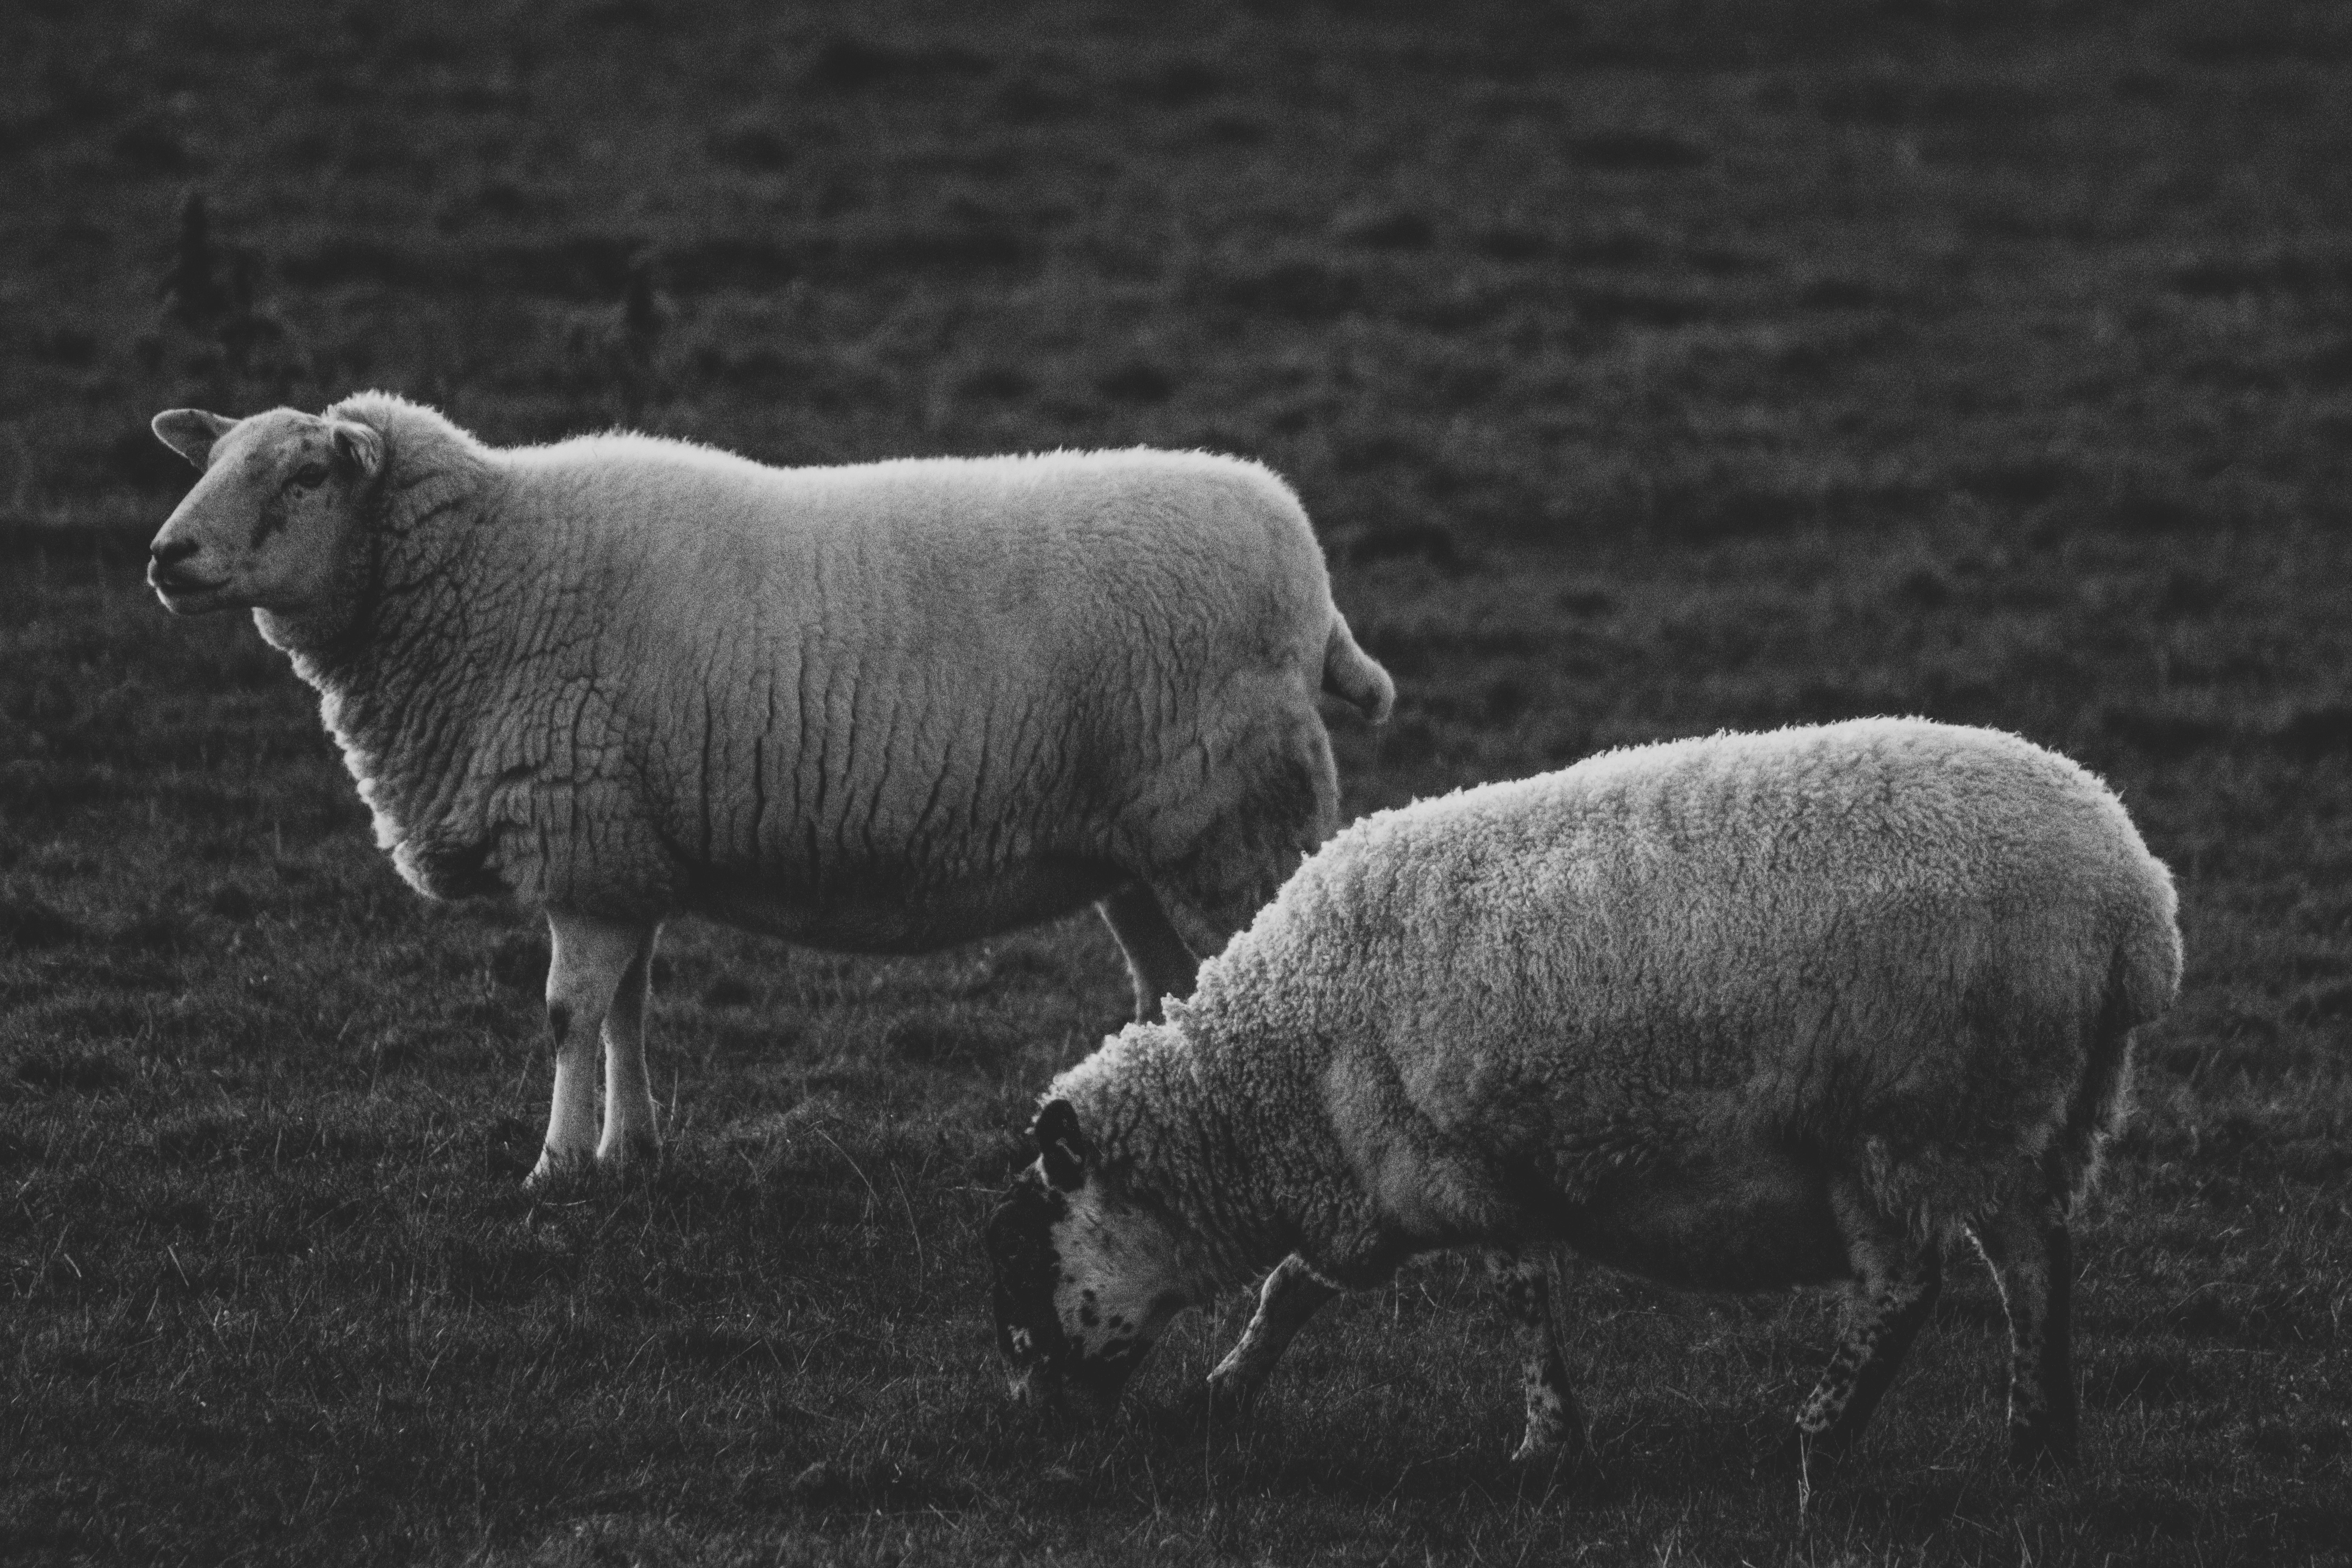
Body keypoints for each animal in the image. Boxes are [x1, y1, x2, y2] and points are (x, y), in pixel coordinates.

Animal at [143, 393, 1394, 1187]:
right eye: (206, 464)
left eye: (307, 476)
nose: (165, 557)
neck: (485, 576)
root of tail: (1311, 574)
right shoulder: (623, 851)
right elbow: (629, 1013)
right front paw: (630, 1154)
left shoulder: (581, 844)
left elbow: (567, 1017)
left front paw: (554, 1167)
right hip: (1138, 854)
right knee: (1179, 994)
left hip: (1238, 824)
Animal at [985, 718, 2180, 1473]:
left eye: (1031, 1267)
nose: (1034, 1431)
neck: (1277, 1068)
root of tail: (2137, 906)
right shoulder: (1379, 1184)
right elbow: (1295, 1288)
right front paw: (1222, 1395)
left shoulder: (1465, 1171)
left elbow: (1519, 1302)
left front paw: (1545, 1444)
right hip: (2031, 1118)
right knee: (2034, 1268)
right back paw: (2036, 1440)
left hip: (1913, 1119)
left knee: (1903, 1287)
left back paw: (1810, 1441)